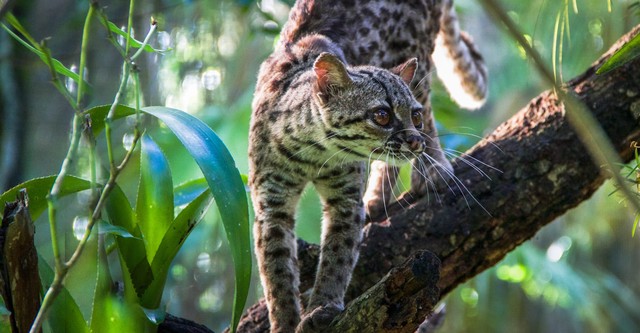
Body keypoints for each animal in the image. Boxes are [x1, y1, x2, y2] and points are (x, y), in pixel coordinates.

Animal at [248, 0, 488, 330]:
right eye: (382, 116)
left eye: (412, 116)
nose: (415, 141)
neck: (310, 151)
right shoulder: (271, 207)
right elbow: (277, 275)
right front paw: (285, 322)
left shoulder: (346, 200)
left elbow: (338, 257)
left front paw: (321, 308)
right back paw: (381, 197)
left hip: (417, 51)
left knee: (427, 100)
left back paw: (431, 170)